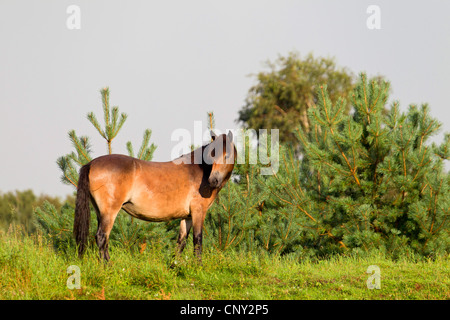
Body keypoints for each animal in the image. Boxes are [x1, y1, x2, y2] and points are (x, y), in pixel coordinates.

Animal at [73, 131, 239, 262]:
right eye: (211, 155)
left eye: (227, 155)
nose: (213, 180)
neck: (199, 171)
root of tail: (91, 164)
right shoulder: (199, 212)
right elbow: (197, 241)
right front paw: (198, 267)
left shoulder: (187, 216)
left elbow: (181, 242)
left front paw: (174, 267)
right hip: (109, 212)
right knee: (102, 237)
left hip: (100, 212)